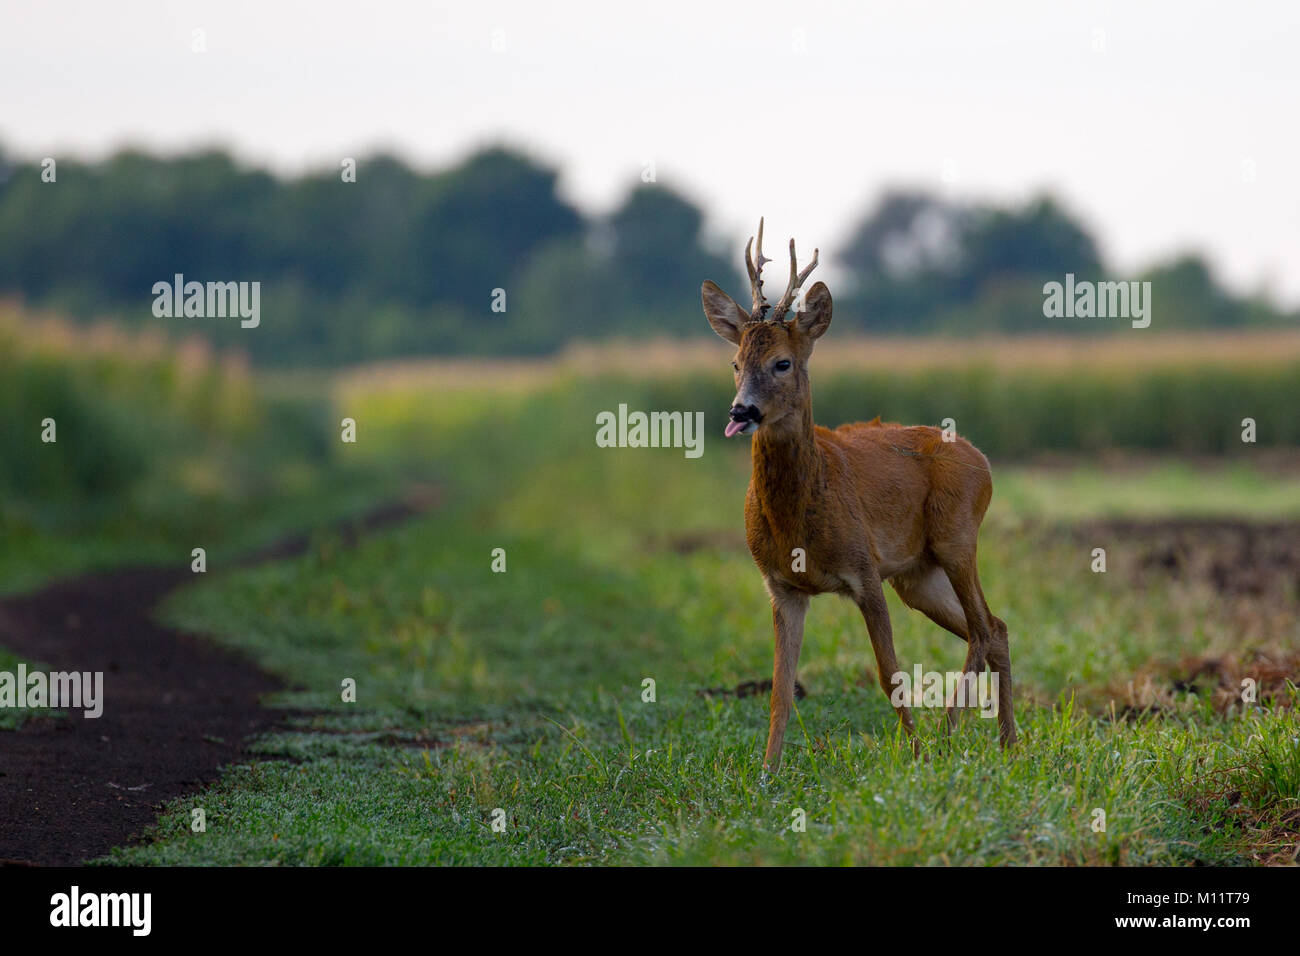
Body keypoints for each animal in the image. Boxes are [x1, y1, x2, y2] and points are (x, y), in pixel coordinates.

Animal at [702, 217, 1013, 770]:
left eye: (782, 363)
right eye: (735, 363)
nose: (741, 411)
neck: (798, 521)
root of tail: (981, 457)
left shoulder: (865, 570)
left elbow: (891, 676)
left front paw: (915, 756)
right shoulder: (781, 586)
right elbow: (781, 691)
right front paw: (766, 773)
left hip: (956, 538)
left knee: (983, 628)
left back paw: (953, 737)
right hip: (916, 575)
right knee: (996, 628)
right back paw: (1007, 745)